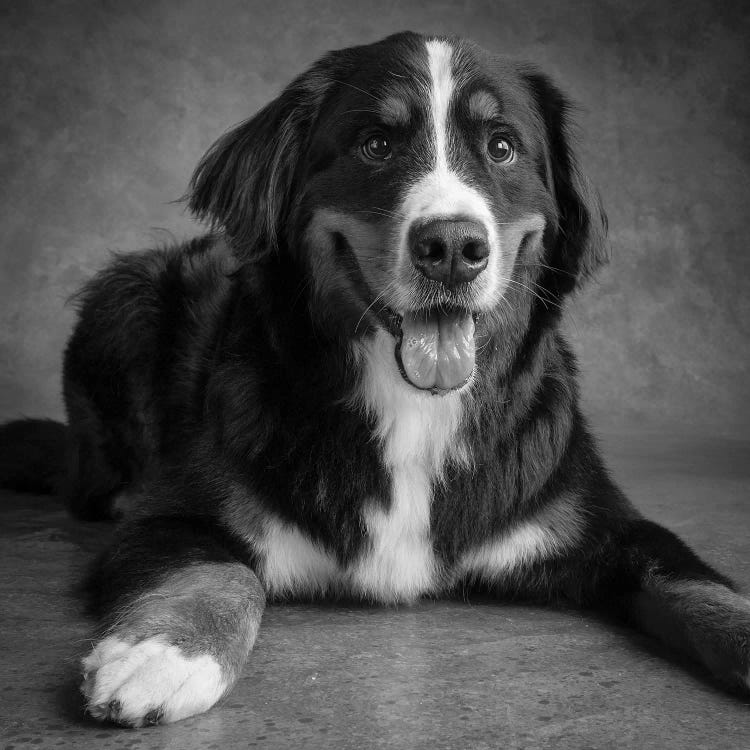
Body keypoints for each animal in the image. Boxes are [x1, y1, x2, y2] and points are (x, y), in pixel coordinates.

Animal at [1, 30, 750, 728]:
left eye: (502, 147)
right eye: (377, 143)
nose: (452, 247)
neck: (414, 406)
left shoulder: (600, 521)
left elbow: (697, 582)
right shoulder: (178, 511)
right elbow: (218, 569)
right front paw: (161, 656)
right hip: (125, 295)